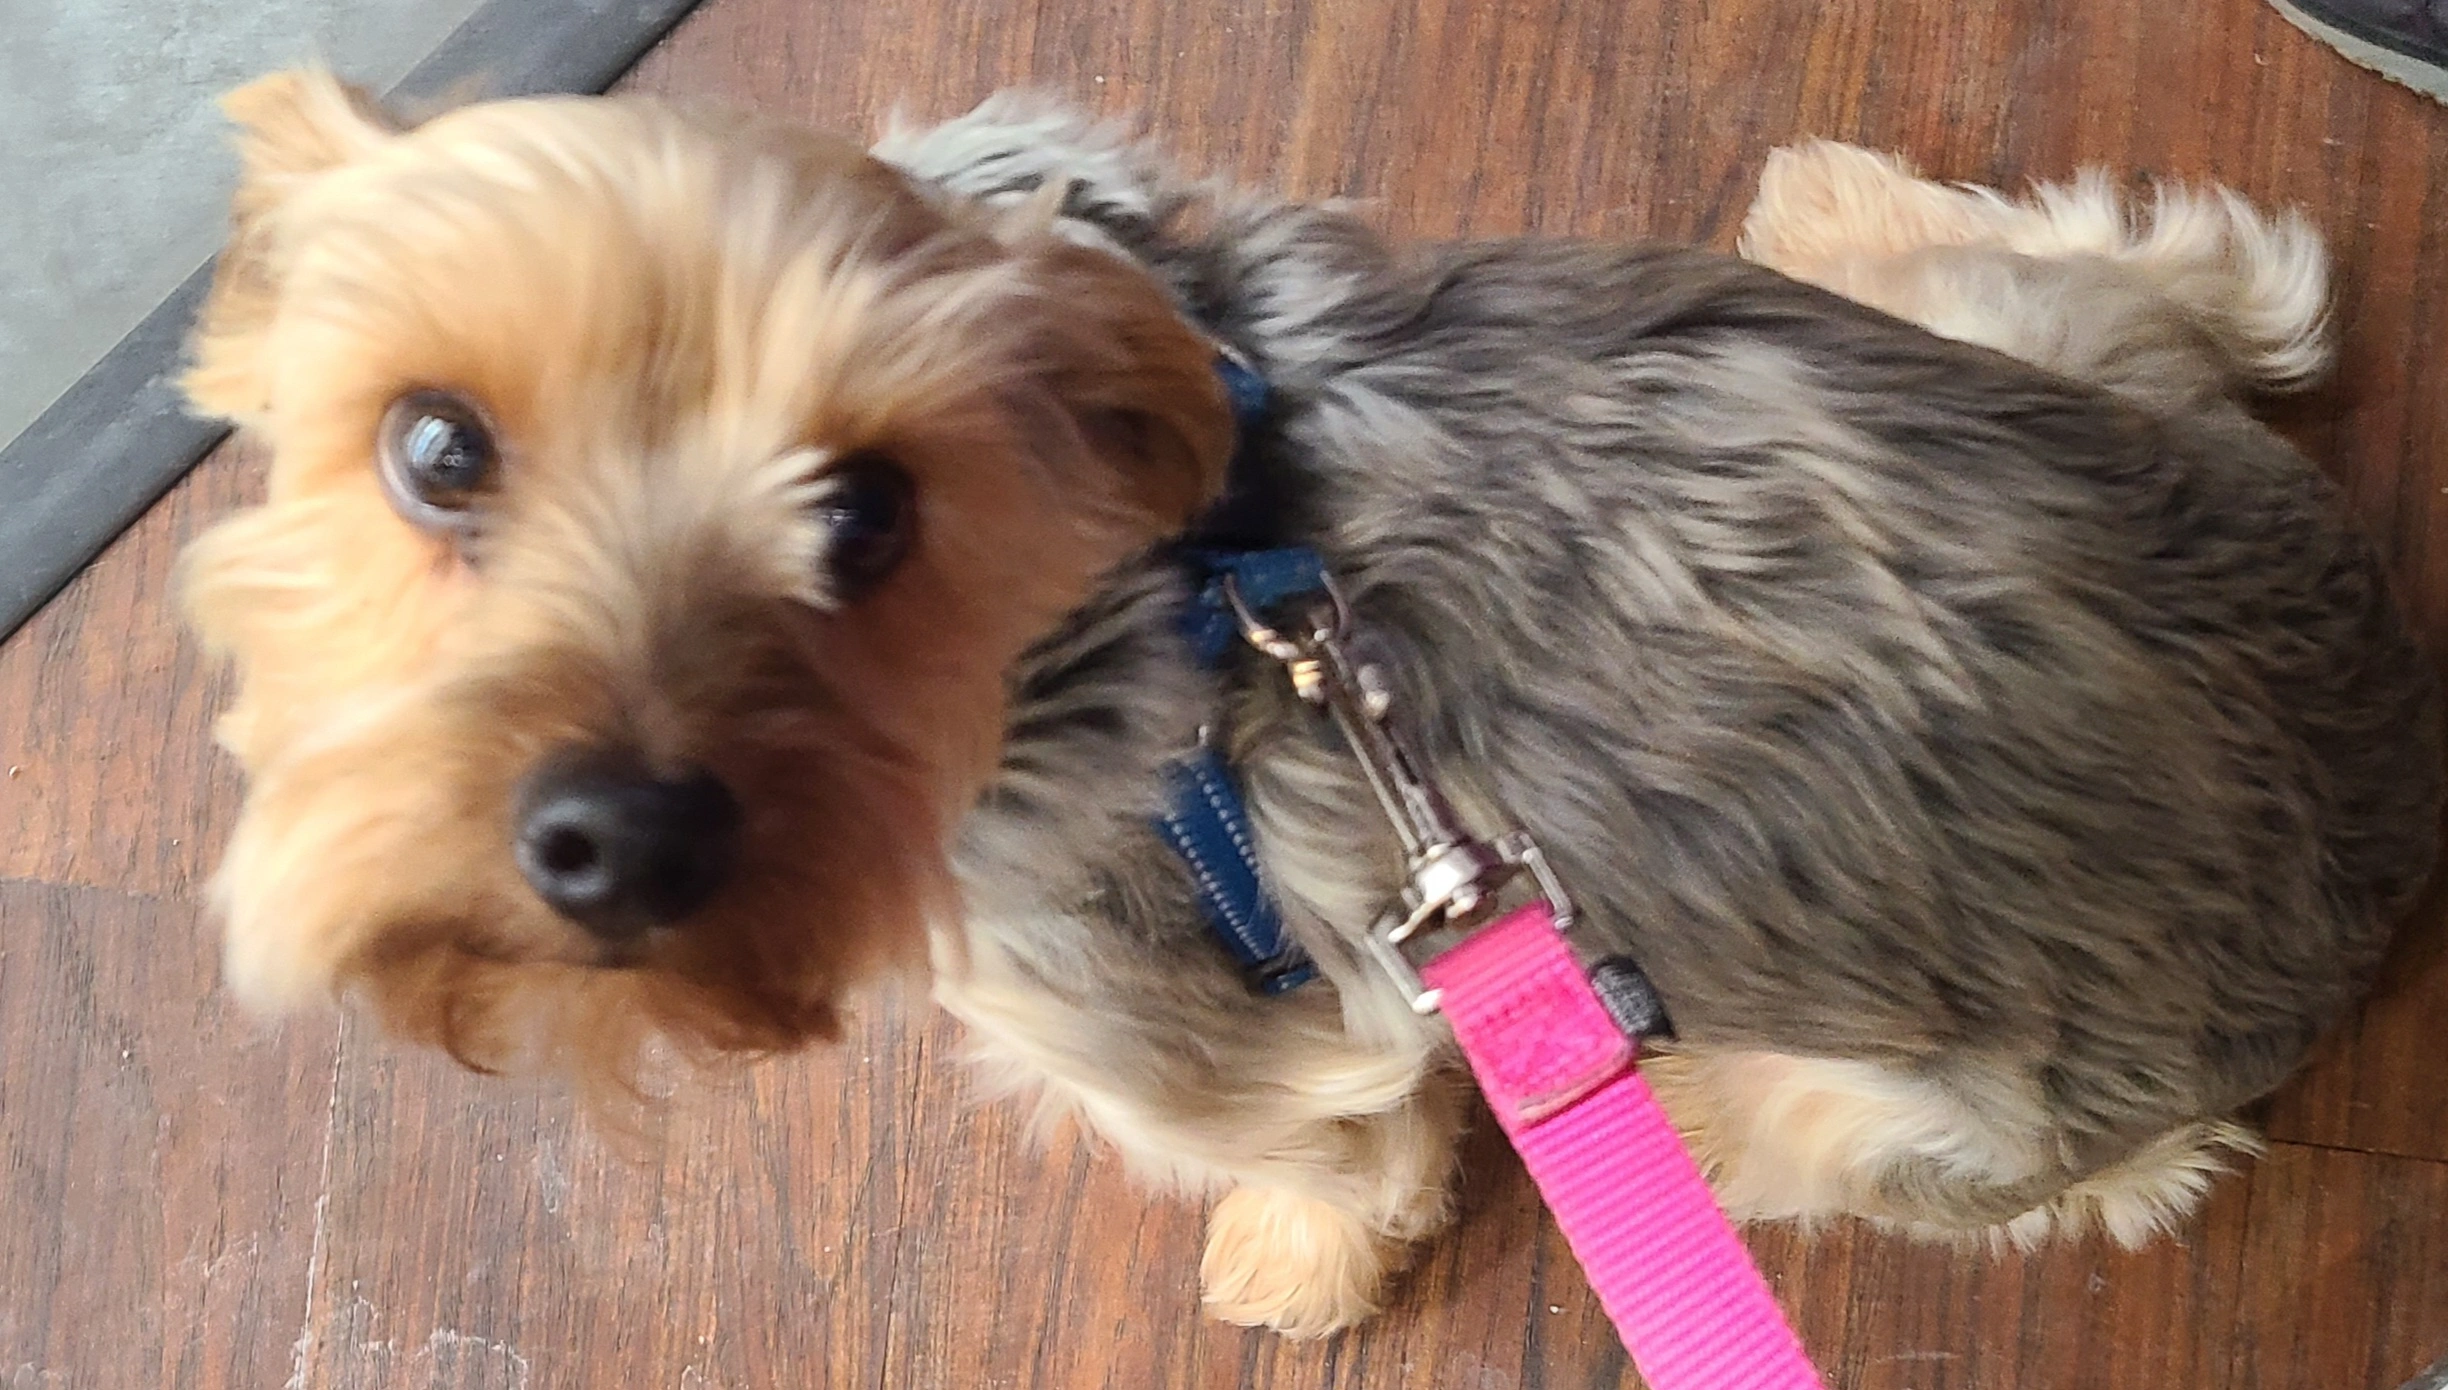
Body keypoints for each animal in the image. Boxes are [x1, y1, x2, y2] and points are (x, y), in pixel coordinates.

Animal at [180, 71, 2441, 1337]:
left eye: (874, 516)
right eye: (439, 448)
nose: (610, 840)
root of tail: (2387, 774)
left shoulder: (1203, 1041)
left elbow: (1326, 1153)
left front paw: (1291, 1264)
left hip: (1907, 1104)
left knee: (2113, 1171)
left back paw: (1685, 1107)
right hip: (2019, 349)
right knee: (2219, 269)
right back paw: (1838, 201)